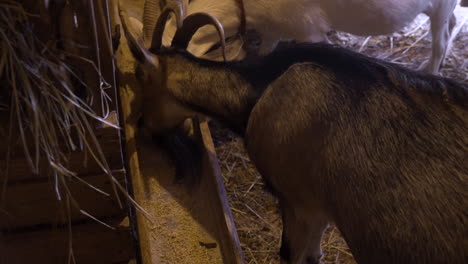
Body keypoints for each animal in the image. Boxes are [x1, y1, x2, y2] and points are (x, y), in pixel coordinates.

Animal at [163, 0, 458, 74]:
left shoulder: (309, 30)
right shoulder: (274, 26)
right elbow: (265, 52)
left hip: (441, 5)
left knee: (440, 39)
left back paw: (430, 72)